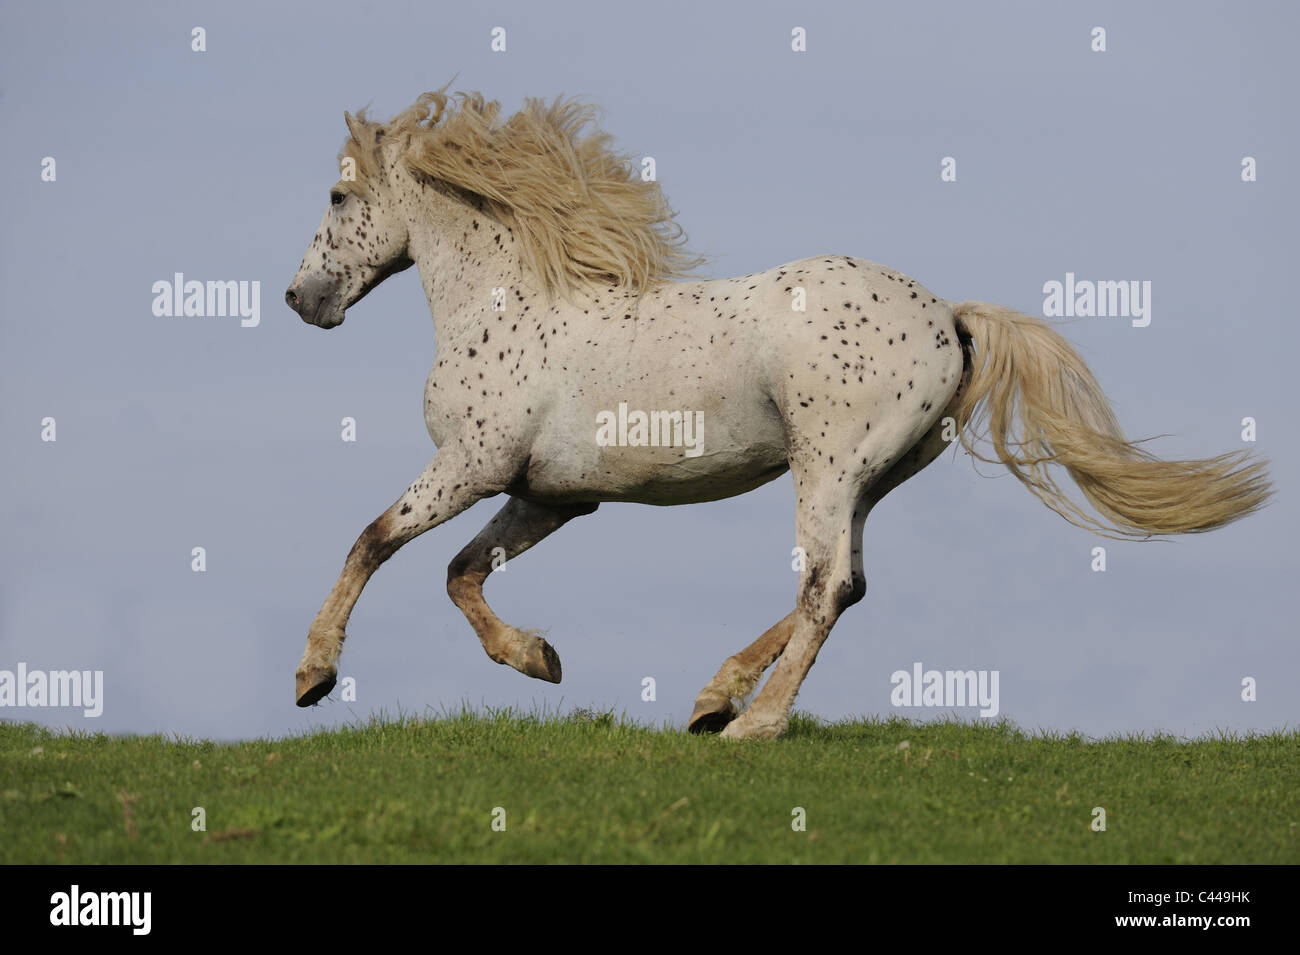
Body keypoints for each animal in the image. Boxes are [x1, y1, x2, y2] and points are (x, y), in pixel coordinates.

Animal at [284, 89, 1271, 740]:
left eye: (337, 196)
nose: (301, 299)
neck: (509, 304)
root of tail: (948, 316)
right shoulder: (551, 494)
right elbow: (459, 572)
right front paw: (538, 658)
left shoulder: (474, 465)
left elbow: (373, 540)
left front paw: (313, 676)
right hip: (867, 477)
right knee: (847, 583)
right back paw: (711, 698)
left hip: (827, 464)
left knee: (823, 585)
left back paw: (752, 722)